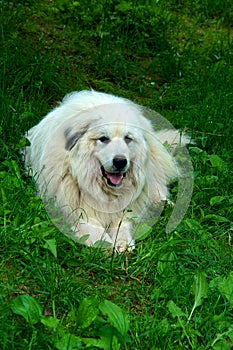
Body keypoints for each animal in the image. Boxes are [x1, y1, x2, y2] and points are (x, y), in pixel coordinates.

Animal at [22, 90, 188, 252]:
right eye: (103, 138)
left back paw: (164, 204)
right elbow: (94, 229)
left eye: (127, 139)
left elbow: (122, 224)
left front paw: (122, 242)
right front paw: (105, 245)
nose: (120, 162)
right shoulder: (77, 211)